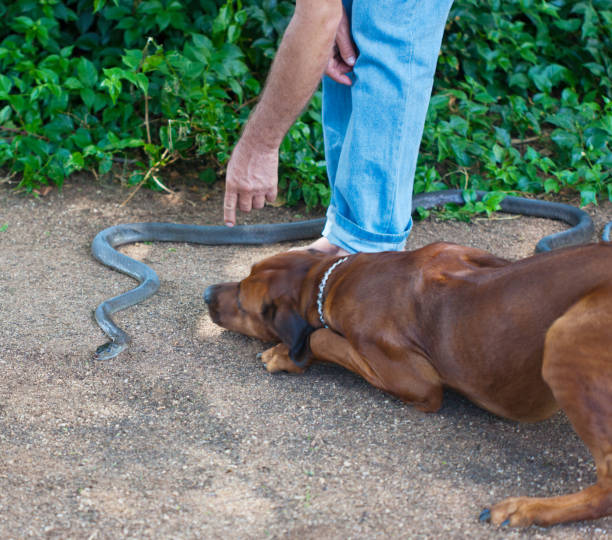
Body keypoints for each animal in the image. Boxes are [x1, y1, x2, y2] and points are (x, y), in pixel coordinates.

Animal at [203, 242, 608, 528]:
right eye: (245, 273)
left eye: (241, 299)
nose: (206, 292)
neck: (328, 281)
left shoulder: (418, 382)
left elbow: (321, 338)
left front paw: (285, 354)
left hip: (564, 338)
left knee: (605, 491)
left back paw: (525, 508)